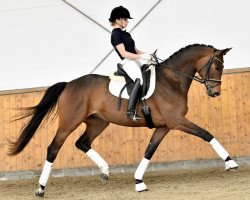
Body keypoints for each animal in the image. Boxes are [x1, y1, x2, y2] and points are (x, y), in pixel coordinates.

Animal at [8, 43, 238, 198]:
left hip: (98, 122)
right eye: (217, 67)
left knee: (82, 142)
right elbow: (206, 134)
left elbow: (149, 151)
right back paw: (41, 188)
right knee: (53, 148)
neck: (171, 81)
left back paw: (104, 172)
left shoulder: (164, 126)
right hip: (69, 123)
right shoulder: (177, 121)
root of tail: (68, 84)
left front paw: (138, 182)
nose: (215, 93)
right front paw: (230, 163)